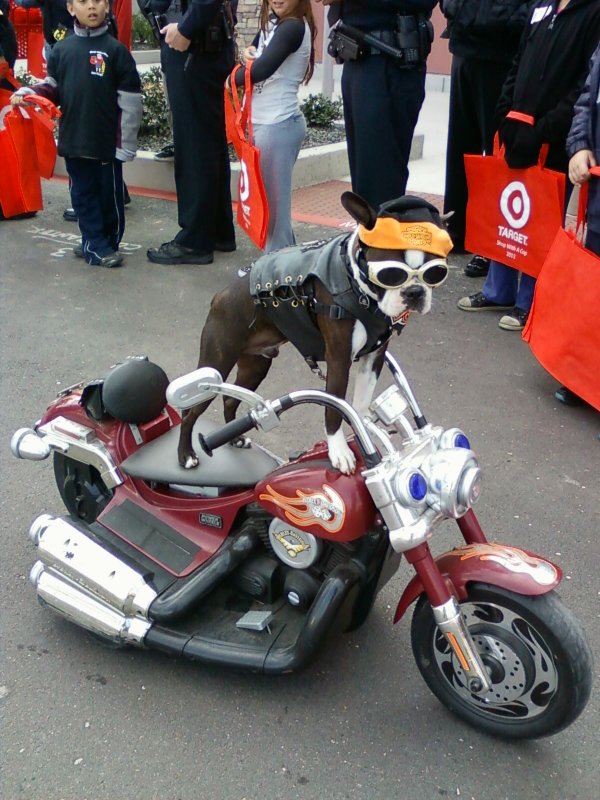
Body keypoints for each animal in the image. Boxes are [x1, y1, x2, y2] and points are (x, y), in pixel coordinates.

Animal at [176, 190, 452, 472]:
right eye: (391, 273)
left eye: (436, 271)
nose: (415, 292)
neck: (355, 283)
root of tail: (220, 296)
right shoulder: (339, 360)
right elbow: (334, 409)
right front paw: (339, 450)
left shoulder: (373, 358)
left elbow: (361, 402)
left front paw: (367, 430)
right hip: (217, 362)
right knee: (190, 412)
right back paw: (186, 454)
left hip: (256, 366)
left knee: (231, 399)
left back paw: (236, 438)